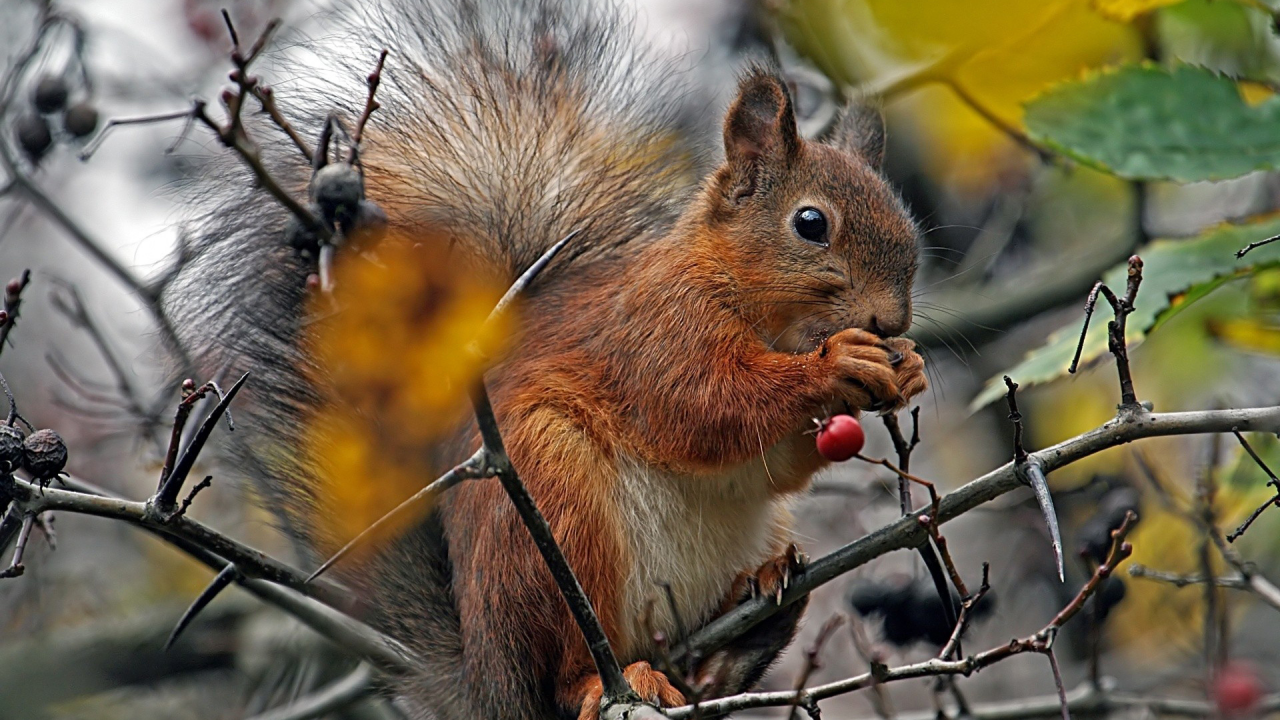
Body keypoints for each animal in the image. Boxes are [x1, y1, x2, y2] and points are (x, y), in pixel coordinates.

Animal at [167, 1, 931, 717]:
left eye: (907, 225)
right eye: (811, 224)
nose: (891, 321)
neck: (758, 308)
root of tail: (486, 677)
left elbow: (773, 464)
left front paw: (909, 367)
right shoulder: (655, 330)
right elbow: (706, 407)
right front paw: (836, 364)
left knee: (700, 656)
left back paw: (749, 618)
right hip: (549, 506)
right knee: (565, 668)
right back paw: (613, 677)